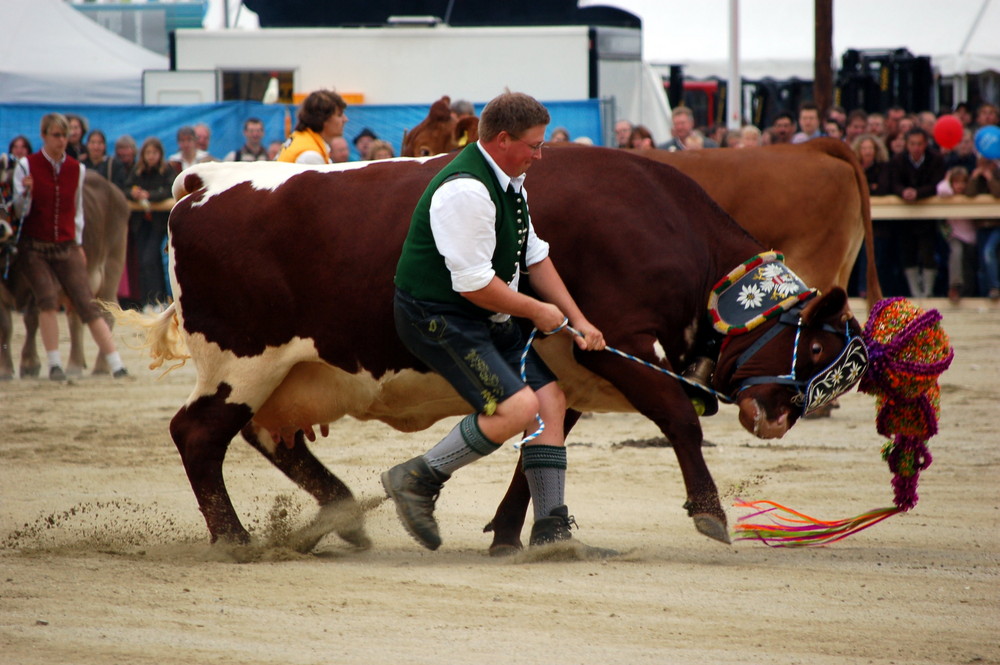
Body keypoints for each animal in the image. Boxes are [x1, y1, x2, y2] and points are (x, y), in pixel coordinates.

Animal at [0, 169, 131, 378]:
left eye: (7, 195)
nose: (1, 227)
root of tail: (115, 191)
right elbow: (5, 326)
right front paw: (5, 370)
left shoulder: (39, 286)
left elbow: (31, 319)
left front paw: (29, 364)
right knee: (76, 316)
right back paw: (74, 366)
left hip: (111, 269)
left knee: (106, 313)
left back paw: (101, 367)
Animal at [117, 148, 868, 552]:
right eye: (816, 343)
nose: (777, 415)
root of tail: (203, 180)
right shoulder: (612, 343)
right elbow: (679, 418)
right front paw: (709, 509)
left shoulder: (567, 365)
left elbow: (539, 443)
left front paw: (519, 531)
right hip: (243, 362)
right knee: (198, 434)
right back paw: (235, 539)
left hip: (289, 371)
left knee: (269, 437)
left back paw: (340, 514)